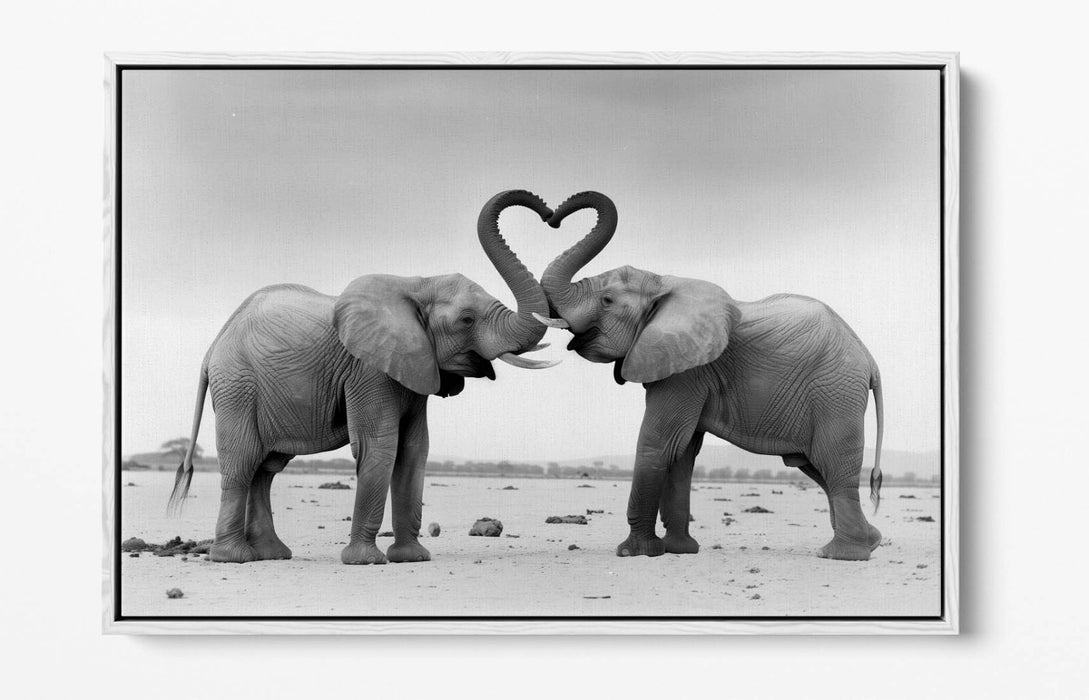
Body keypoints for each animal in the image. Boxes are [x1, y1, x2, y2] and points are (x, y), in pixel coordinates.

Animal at [167, 189, 558, 565]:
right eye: (466, 320)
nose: (548, 213)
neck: (416, 283)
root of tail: (214, 345)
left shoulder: (414, 367)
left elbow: (415, 450)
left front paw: (412, 558)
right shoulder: (368, 369)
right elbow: (379, 446)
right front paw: (365, 561)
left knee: (267, 467)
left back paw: (271, 554)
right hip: (237, 384)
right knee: (243, 461)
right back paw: (233, 558)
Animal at [534, 191, 885, 561]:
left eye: (607, 300)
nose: (552, 215)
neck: (662, 282)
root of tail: (869, 359)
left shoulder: (688, 372)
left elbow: (658, 443)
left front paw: (637, 552)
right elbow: (682, 452)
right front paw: (680, 550)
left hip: (836, 391)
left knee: (834, 465)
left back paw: (841, 554)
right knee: (817, 468)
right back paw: (869, 542)